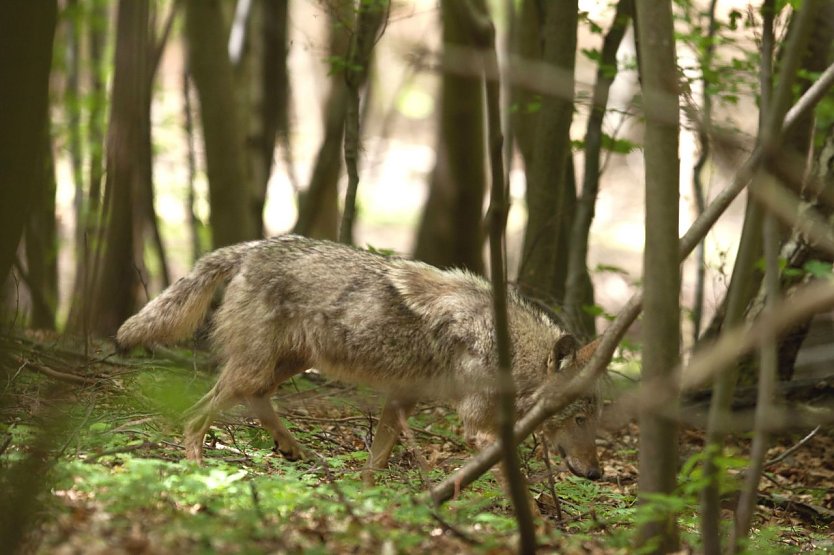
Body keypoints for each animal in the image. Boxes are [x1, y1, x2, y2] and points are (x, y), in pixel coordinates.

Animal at [116, 235, 602, 482]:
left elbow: (378, 459)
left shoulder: (402, 399)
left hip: (286, 365)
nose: (598, 474)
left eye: (590, 419)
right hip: (256, 369)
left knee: (256, 402)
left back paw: (297, 451)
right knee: (197, 415)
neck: (506, 346)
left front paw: (373, 501)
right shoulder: (477, 428)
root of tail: (251, 247)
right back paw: (199, 472)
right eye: (578, 418)